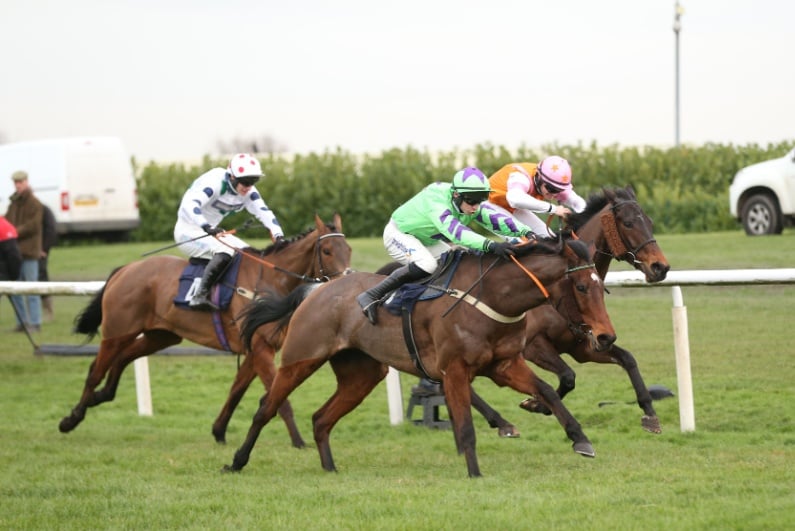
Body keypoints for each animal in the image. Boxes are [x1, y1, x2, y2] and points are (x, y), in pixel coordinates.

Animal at [58, 213, 352, 448]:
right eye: (327, 250)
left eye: (348, 248)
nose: (346, 281)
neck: (271, 281)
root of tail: (125, 269)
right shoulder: (260, 348)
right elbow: (279, 398)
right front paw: (299, 441)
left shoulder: (254, 349)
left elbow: (236, 390)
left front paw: (219, 431)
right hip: (117, 330)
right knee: (95, 371)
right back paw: (71, 419)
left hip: (160, 335)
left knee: (122, 358)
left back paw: (101, 396)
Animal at [225, 236, 616, 478]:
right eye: (582, 286)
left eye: (603, 286)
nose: (606, 336)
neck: (493, 296)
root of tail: (316, 288)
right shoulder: (455, 369)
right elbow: (465, 424)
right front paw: (474, 472)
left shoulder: (504, 364)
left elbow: (547, 391)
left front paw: (580, 439)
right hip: (300, 359)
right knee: (266, 407)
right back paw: (236, 461)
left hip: (361, 375)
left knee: (321, 419)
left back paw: (330, 468)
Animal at [469, 186, 671, 435]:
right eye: (628, 223)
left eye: (650, 222)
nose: (660, 267)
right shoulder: (533, 345)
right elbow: (567, 376)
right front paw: (536, 404)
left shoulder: (584, 346)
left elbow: (628, 359)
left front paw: (650, 413)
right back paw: (498, 420)